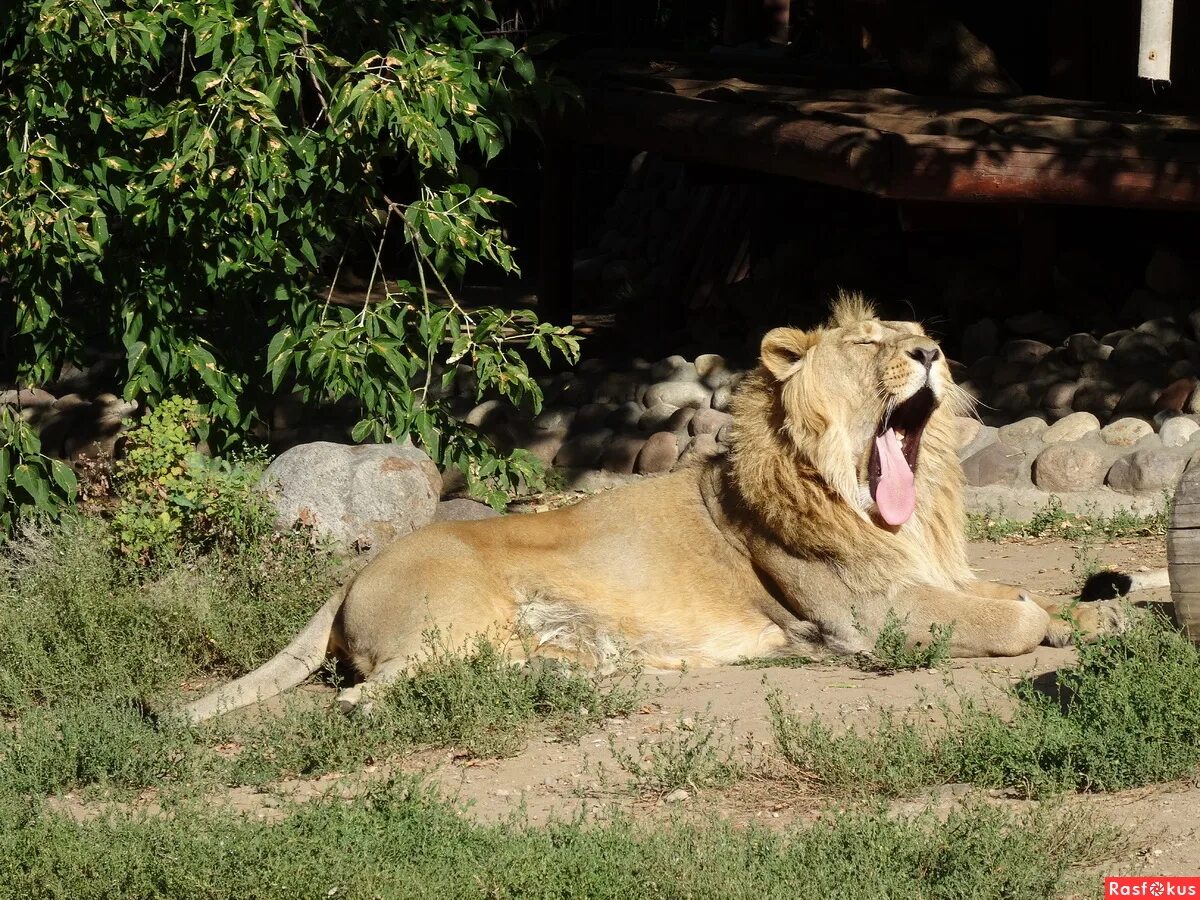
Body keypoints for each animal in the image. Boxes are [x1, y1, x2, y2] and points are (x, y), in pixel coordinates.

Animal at [177, 296, 1123, 724]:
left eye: (919, 332)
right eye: (869, 342)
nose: (930, 351)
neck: (904, 508)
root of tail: (348, 580)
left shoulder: (934, 578)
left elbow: (1023, 596)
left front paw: (1093, 614)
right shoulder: (870, 617)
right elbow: (1012, 619)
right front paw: (1052, 625)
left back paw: (598, 672)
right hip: (455, 622)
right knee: (369, 698)